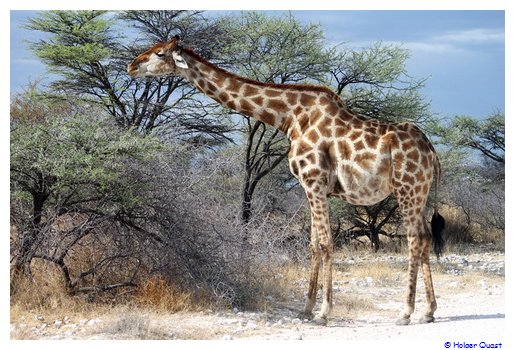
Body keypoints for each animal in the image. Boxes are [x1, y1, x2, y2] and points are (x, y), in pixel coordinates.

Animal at [127, 35, 446, 326]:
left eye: (159, 53)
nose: (131, 66)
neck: (290, 119)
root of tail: (432, 152)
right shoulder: (311, 186)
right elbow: (313, 243)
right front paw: (306, 309)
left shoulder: (314, 180)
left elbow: (325, 243)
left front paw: (324, 312)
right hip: (419, 192)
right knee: (425, 237)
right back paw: (428, 311)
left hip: (407, 189)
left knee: (415, 238)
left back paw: (406, 312)